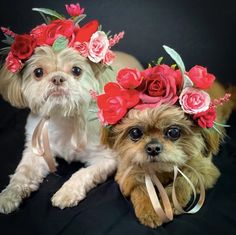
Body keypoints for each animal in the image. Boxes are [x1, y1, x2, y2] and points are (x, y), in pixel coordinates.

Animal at [0, 43, 142, 213]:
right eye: (38, 72)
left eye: (76, 70)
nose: (57, 78)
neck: (63, 117)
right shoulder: (36, 150)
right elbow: (23, 172)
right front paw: (9, 194)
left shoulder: (106, 159)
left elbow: (83, 173)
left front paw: (67, 192)